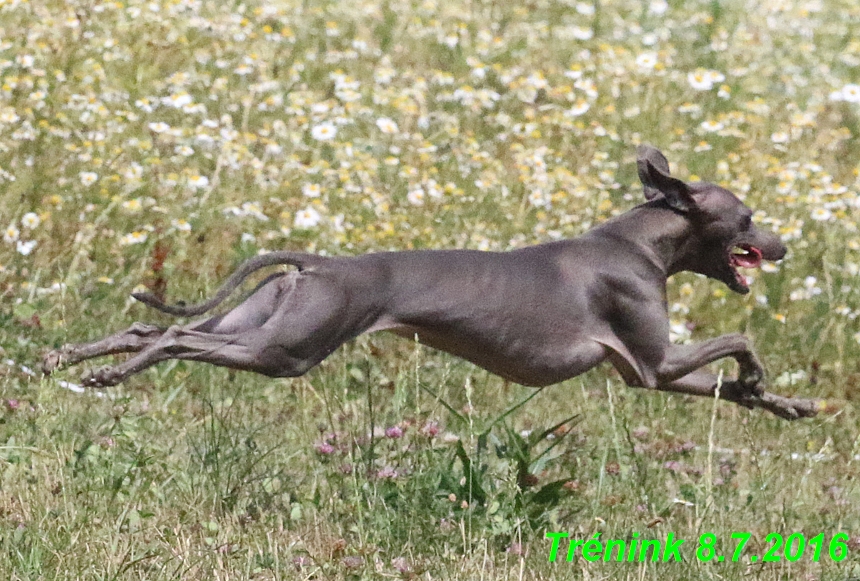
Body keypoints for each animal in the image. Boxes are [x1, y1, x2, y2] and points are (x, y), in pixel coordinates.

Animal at [45, 144, 820, 416]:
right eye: (749, 217)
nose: (784, 247)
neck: (637, 243)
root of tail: (320, 263)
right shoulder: (653, 360)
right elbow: (739, 337)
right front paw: (759, 377)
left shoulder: (645, 375)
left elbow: (728, 383)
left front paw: (781, 402)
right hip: (285, 350)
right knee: (175, 339)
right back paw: (112, 373)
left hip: (262, 321)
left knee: (148, 324)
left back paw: (72, 359)